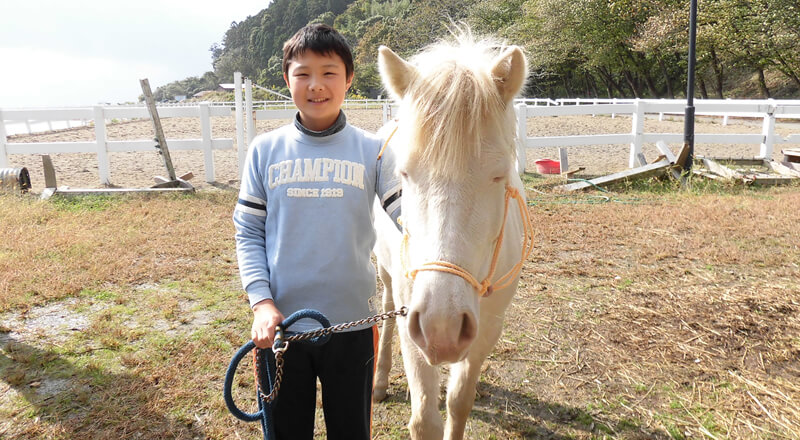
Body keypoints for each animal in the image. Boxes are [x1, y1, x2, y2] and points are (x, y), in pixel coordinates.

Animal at [372, 34, 536, 440]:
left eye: (499, 174)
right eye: (405, 172)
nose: (440, 325)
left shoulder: (488, 327)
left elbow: (459, 402)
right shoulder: (411, 321)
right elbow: (424, 419)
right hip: (387, 276)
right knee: (385, 312)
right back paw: (379, 382)